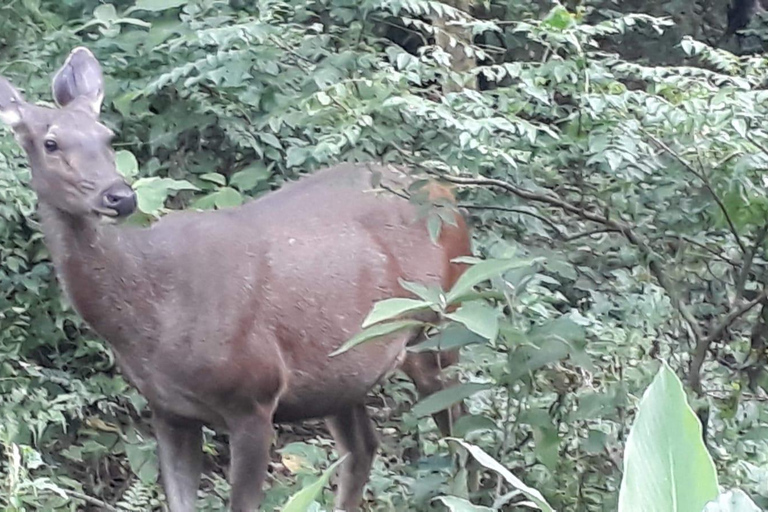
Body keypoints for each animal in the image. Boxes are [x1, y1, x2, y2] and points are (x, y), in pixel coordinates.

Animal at [0, 47, 474, 508]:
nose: (118, 196)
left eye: (107, 137)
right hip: (343, 371)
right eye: (50, 142)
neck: (153, 317)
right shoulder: (167, 409)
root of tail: (445, 191)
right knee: (363, 447)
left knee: (459, 435)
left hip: (443, 324)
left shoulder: (255, 395)